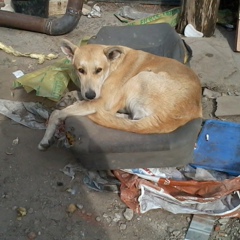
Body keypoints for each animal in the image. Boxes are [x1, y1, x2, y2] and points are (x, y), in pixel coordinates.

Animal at [38, 39, 202, 150]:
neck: (112, 65)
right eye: (80, 70)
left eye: (99, 70)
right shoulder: (92, 93)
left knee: (113, 114)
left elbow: (56, 114)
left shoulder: (103, 100)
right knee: (130, 120)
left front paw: (46, 137)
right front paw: (68, 97)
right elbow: (78, 93)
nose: (90, 95)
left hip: (138, 78)